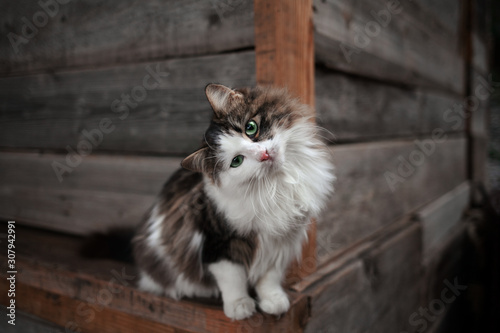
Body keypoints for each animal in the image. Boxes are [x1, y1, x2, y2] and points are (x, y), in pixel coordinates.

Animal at [133, 83, 336, 320]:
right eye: (237, 161)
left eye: (250, 128)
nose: (264, 154)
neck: (275, 186)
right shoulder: (218, 243)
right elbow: (233, 278)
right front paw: (239, 306)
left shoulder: (279, 240)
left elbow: (270, 277)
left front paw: (273, 301)